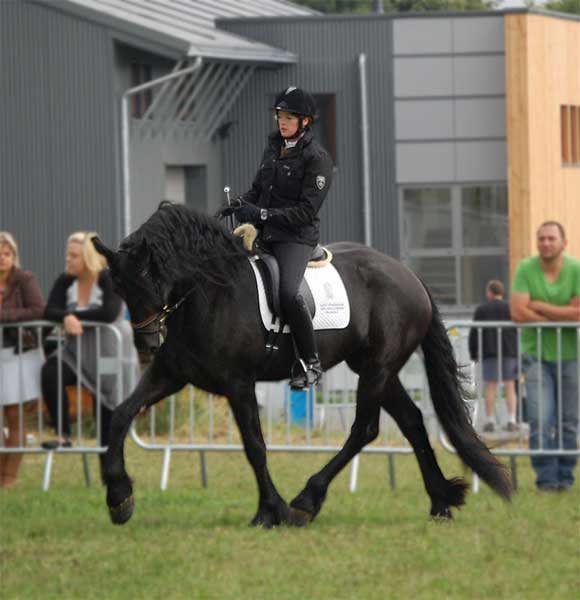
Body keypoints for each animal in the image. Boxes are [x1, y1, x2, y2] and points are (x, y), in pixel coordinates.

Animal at [92, 202, 511, 527]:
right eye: (120, 286)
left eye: (152, 275)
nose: (147, 345)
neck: (210, 294)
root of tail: (409, 275)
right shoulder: (171, 374)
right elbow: (120, 416)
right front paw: (118, 497)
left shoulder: (238, 384)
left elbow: (255, 446)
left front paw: (270, 511)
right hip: (377, 369)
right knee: (411, 422)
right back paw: (441, 501)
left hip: (377, 369)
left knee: (365, 429)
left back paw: (307, 501)